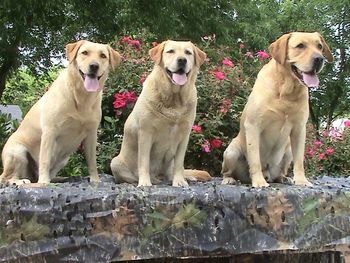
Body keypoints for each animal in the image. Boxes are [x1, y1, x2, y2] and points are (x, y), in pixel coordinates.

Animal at [0, 40, 120, 186]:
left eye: (103, 56)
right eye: (85, 52)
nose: (94, 66)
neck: (81, 98)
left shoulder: (91, 133)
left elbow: (92, 161)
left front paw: (95, 180)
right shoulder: (50, 131)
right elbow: (45, 159)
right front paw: (44, 182)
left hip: (64, 159)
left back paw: (60, 178)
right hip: (18, 152)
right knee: (5, 177)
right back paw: (22, 181)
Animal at [110, 40, 212, 187]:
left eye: (188, 52)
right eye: (170, 51)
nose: (182, 60)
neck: (174, 99)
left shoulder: (184, 135)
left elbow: (179, 163)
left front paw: (179, 181)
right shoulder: (146, 132)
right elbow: (144, 161)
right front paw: (144, 182)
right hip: (115, 162)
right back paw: (150, 180)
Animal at [221, 32, 334, 188]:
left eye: (320, 46)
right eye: (300, 46)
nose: (319, 59)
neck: (286, 89)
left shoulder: (299, 129)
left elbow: (299, 160)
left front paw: (301, 180)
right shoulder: (253, 125)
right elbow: (255, 159)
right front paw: (258, 181)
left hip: (288, 151)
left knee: (282, 170)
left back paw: (283, 178)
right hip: (231, 151)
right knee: (228, 171)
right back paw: (230, 179)